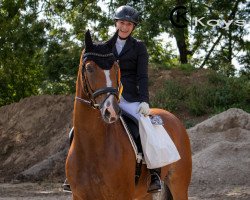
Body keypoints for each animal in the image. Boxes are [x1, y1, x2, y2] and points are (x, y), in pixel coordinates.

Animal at [65, 30, 192, 200]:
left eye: (115, 68)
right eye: (90, 68)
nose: (111, 111)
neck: (91, 146)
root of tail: (174, 118)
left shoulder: (122, 194)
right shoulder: (79, 196)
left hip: (179, 184)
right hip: (144, 194)